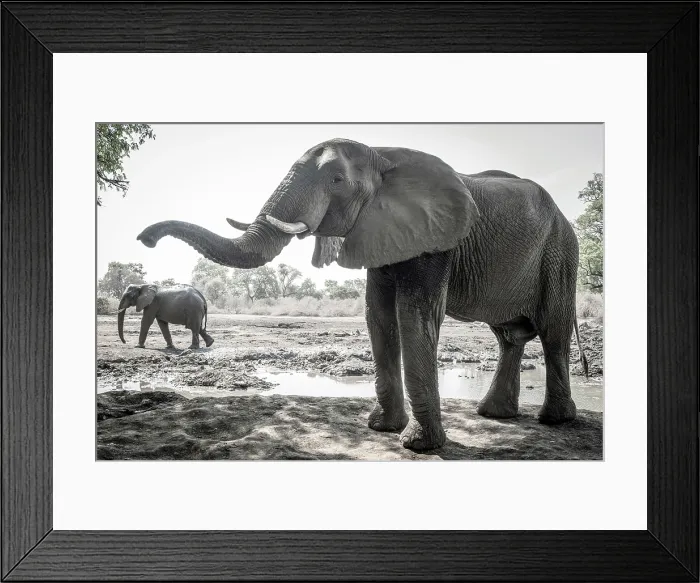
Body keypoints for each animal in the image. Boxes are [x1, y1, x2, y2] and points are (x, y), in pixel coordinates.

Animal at [137, 138, 587, 450]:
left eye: (336, 181)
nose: (145, 238)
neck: (382, 156)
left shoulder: (437, 240)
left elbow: (414, 315)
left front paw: (418, 446)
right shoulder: (381, 231)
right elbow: (378, 316)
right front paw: (381, 428)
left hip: (560, 251)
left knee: (552, 332)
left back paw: (554, 421)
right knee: (509, 336)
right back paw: (494, 414)